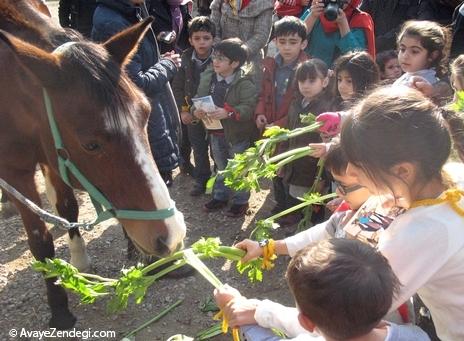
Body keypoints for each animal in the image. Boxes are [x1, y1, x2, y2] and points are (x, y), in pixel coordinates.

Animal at [0, 0, 185, 330]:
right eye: (91, 144)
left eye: (146, 115)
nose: (171, 234)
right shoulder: (15, 172)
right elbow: (40, 241)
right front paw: (59, 307)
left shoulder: (54, 156)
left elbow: (68, 208)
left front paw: (78, 259)